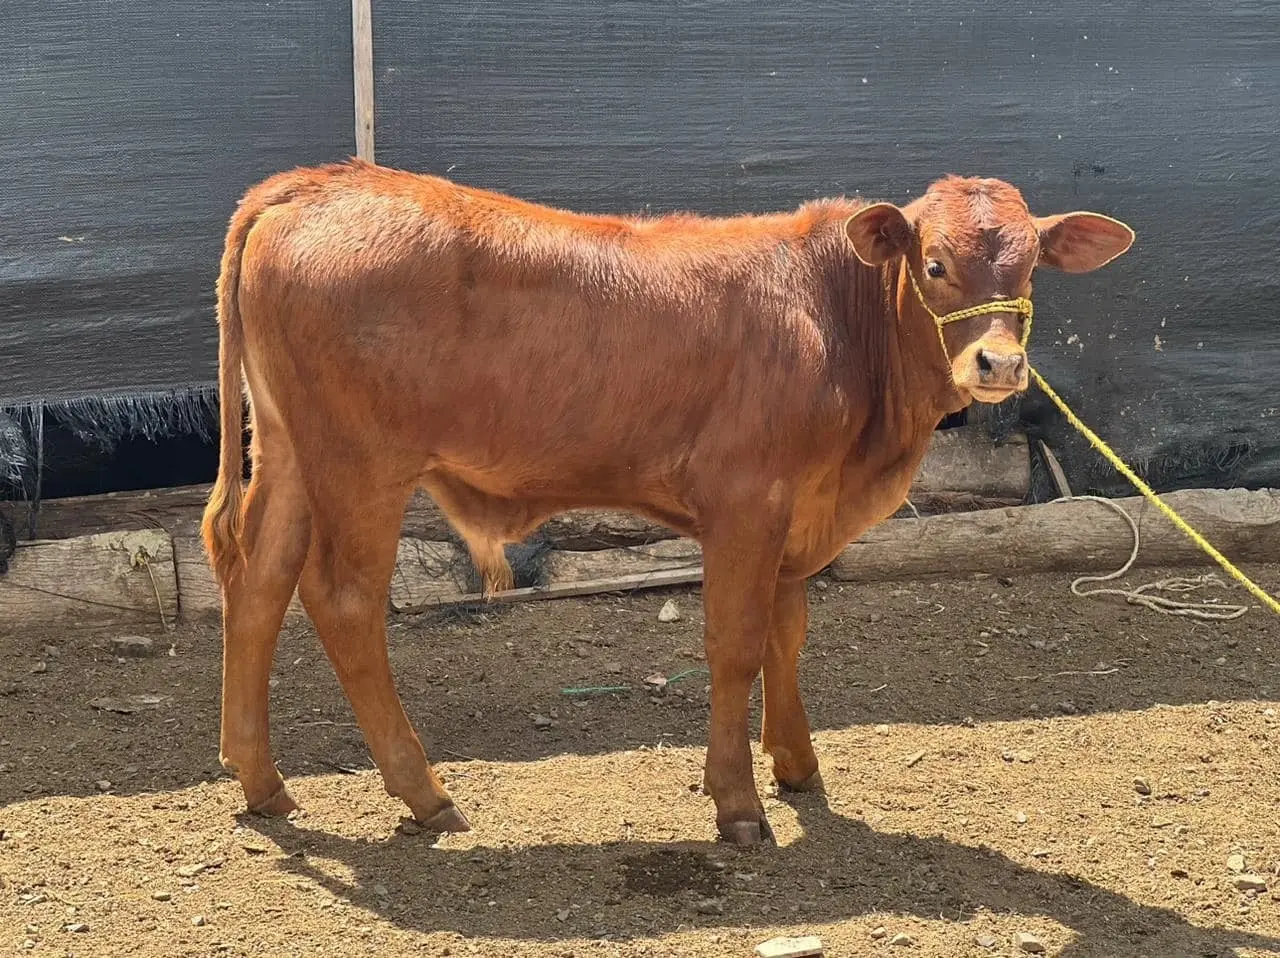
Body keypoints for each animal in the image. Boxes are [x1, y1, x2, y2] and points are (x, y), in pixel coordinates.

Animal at [204, 165, 1136, 845]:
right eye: (935, 264)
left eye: (1030, 267)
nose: (999, 364)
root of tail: (316, 183)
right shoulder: (746, 500)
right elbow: (735, 646)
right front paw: (738, 804)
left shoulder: (796, 512)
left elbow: (786, 633)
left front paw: (797, 764)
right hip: (363, 464)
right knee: (341, 600)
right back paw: (421, 792)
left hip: (288, 451)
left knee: (258, 583)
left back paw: (262, 782)